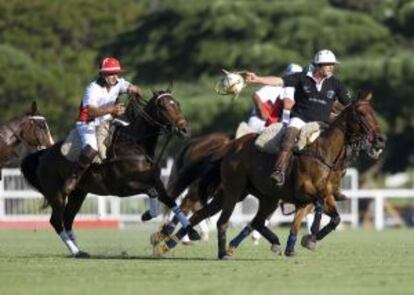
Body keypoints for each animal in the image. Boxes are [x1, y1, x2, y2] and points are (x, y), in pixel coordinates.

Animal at [20, 91, 201, 260]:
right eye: (163, 107)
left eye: (177, 104)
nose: (185, 130)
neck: (136, 144)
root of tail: (43, 154)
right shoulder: (123, 187)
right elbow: (152, 192)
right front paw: (147, 215)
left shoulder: (155, 182)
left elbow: (170, 200)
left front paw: (191, 231)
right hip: (56, 194)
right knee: (56, 221)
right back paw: (76, 251)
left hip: (78, 194)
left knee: (68, 220)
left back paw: (79, 251)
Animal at [154, 91, 384, 260]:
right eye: (361, 113)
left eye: (373, 111)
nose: (380, 140)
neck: (323, 152)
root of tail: (228, 147)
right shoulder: (306, 194)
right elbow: (317, 210)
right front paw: (309, 238)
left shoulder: (320, 196)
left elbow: (331, 218)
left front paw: (299, 243)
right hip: (233, 191)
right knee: (206, 213)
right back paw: (171, 240)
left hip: (244, 195)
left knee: (201, 213)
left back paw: (169, 243)